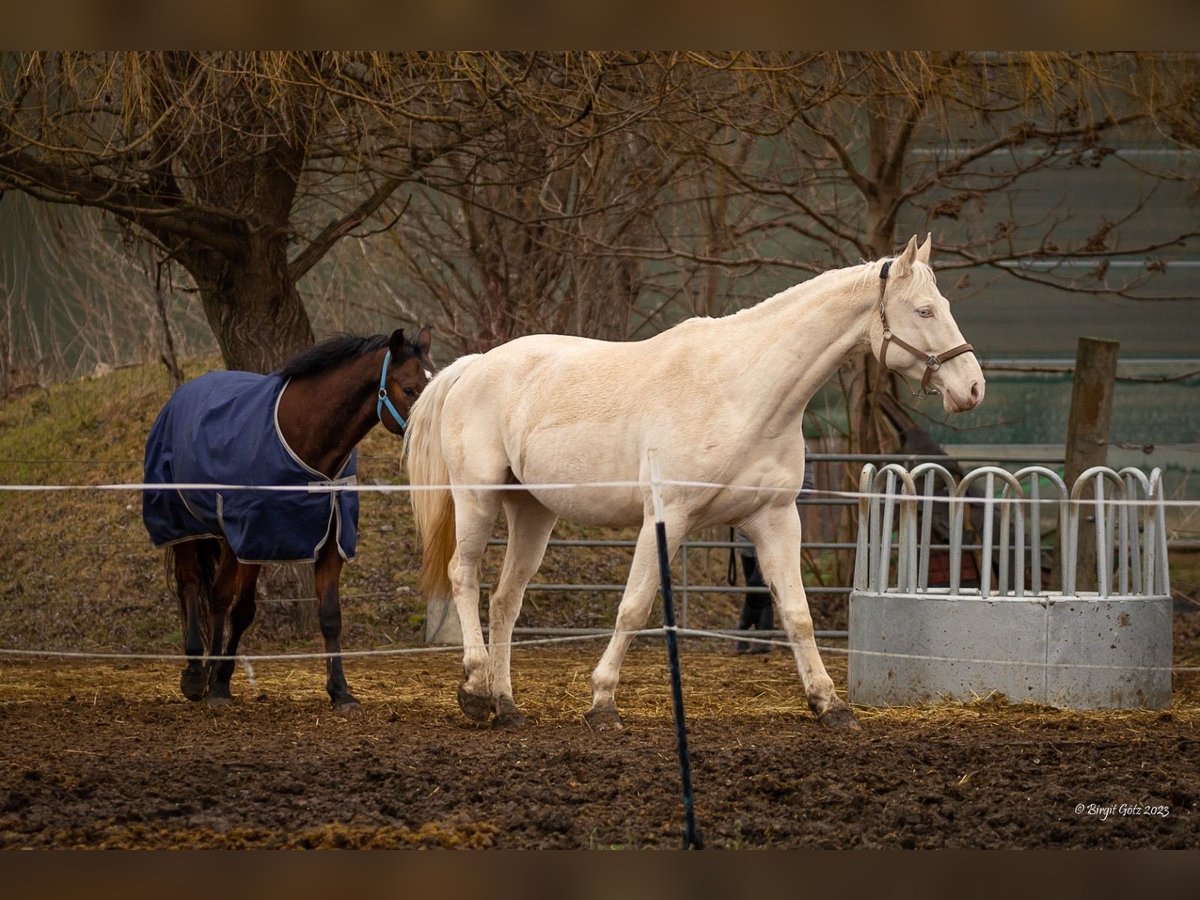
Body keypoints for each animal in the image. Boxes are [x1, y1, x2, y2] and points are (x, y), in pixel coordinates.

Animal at [143, 326, 434, 708]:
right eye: (410, 389)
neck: (304, 437)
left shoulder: (325, 540)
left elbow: (327, 615)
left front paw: (340, 692)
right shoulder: (246, 536)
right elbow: (225, 602)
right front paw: (216, 687)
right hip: (183, 525)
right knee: (193, 586)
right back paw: (195, 674)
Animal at [404, 235, 984, 730]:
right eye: (925, 310)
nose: (973, 388)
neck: (742, 392)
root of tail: (475, 366)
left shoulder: (774, 521)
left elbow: (797, 614)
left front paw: (829, 705)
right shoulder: (667, 517)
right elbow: (634, 607)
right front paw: (602, 703)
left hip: (532, 511)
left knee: (505, 600)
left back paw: (506, 706)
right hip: (477, 498)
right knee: (463, 576)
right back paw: (475, 690)